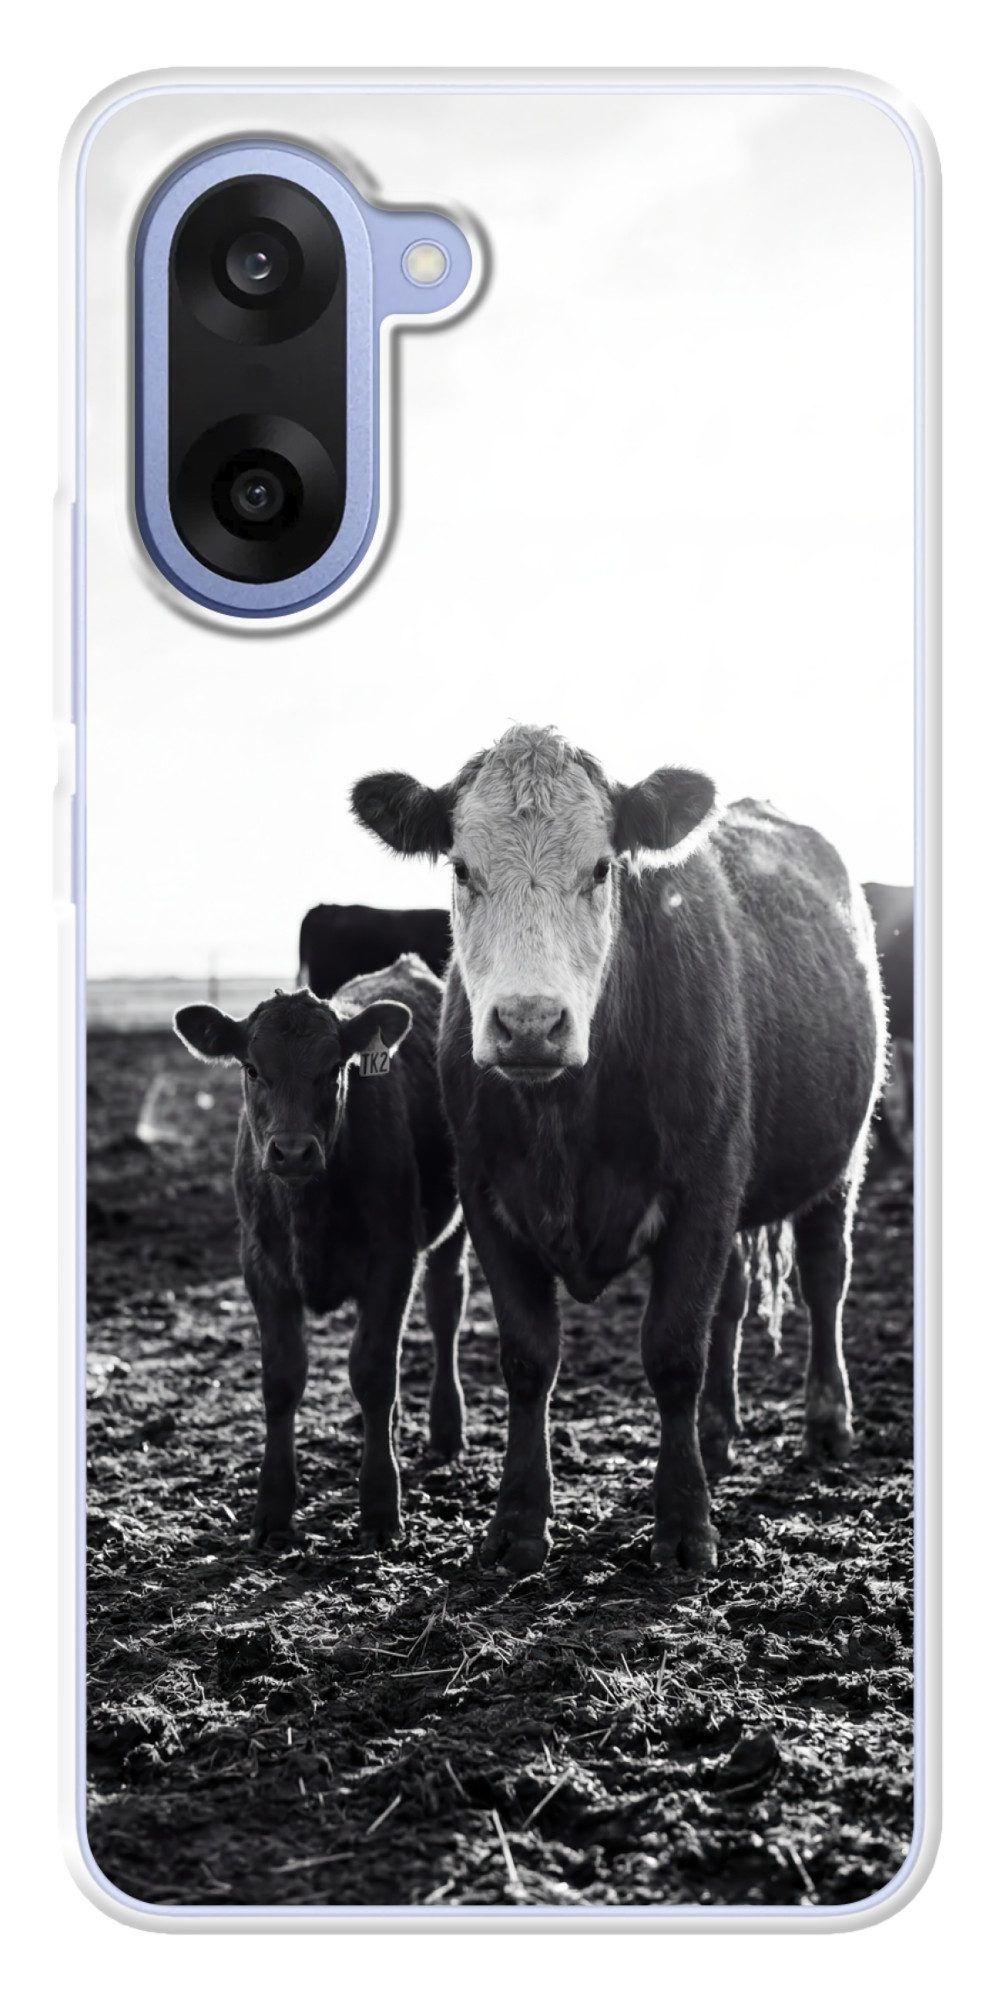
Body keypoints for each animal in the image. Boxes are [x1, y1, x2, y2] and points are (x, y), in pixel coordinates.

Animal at [173, 956, 467, 1552]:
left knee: (445, 1307)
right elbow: (282, 1379)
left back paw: (445, 1428)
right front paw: (272, 1509)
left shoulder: (393, 1259)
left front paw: (379, 1505)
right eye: (251, 1068)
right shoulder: (262, 1267)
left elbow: (374, 1373)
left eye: (334, 1068)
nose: (291, 1151)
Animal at [351, 725, 885, 1577]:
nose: (530, 1024)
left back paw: (827, 1421)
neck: (568, 1119)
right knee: (732, 1301)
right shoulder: (490, 1200)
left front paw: (685, 1525)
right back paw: (717, 1432)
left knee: (826, 1278)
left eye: (602, 866)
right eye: (462, 867)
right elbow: (529, 1358)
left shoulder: (703, 1192)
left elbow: (672, 1353)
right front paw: (518, 1522)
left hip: (841, 1158)